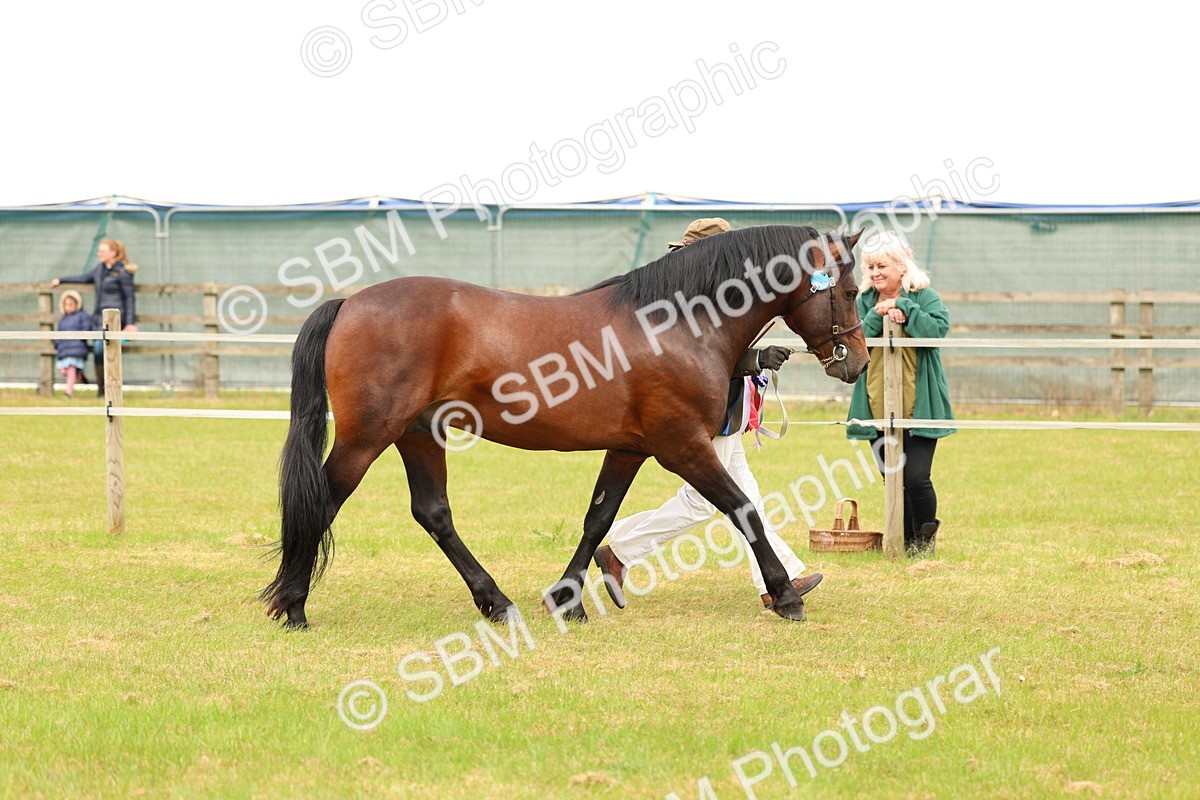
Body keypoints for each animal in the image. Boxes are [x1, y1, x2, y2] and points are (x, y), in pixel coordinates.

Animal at [261, 224, 868, 628]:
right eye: (851, 290)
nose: (857, 362)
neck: (676, 323)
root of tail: (349, 303)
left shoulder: (630, 449)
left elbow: (598, 519)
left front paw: (568, 599)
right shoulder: (682, 446)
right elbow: (742, 508)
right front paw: (787, 595)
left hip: (418, 434)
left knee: (433, 513)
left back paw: (497, 602)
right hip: (367, 437)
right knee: (323, 498)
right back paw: (292, 605)